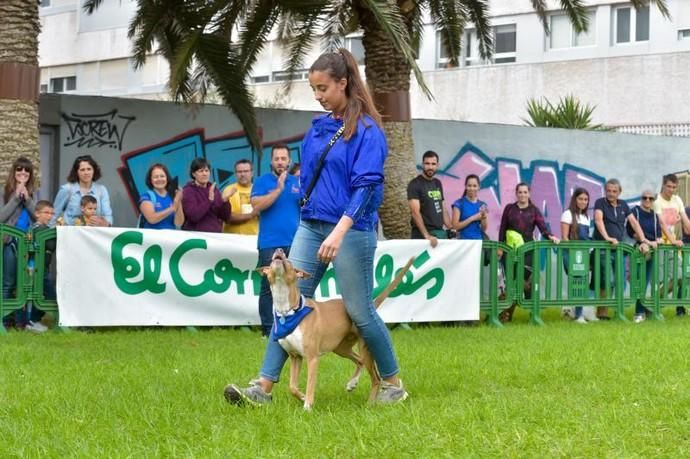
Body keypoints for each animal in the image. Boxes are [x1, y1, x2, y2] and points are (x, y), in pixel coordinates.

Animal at [256, 250, 408, 412]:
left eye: (289, 262)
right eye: (272, 260)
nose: (279, 250)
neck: (288, 312)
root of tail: (371, 306)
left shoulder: (312, 358)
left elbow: (310, 385)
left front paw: (307, 406)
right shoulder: (295, 356)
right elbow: (292, 387)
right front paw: (302, 397)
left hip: (365, 347)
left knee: (376, 378)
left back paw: (371, 403)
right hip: (341, 348)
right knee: (359, 361)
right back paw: (352, 383)